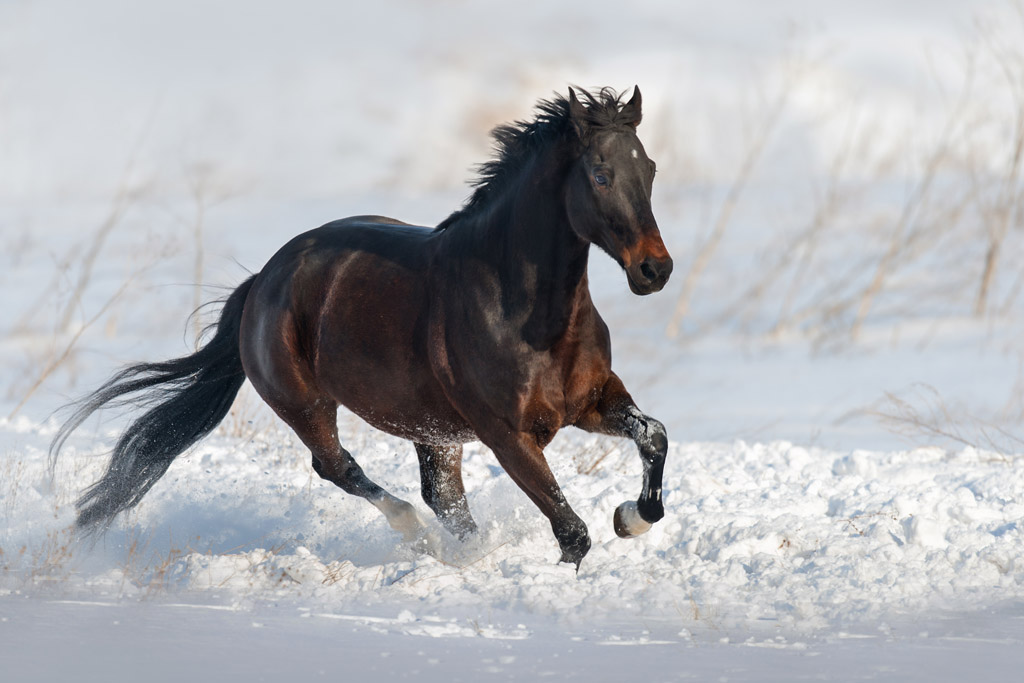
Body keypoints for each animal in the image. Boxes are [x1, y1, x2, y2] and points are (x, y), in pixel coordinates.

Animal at [49, 85, 671, 569]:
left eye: (650, 169)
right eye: (600, 174)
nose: (655, 269)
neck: (529, 317)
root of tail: (264, 279)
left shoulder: (593, 400)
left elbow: (654, 436)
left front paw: (629, 518)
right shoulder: (508, 435)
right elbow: (571, 532)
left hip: (434, 430)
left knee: (442, 497)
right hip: (305, 404)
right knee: (340, 467)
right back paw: (416, 537)